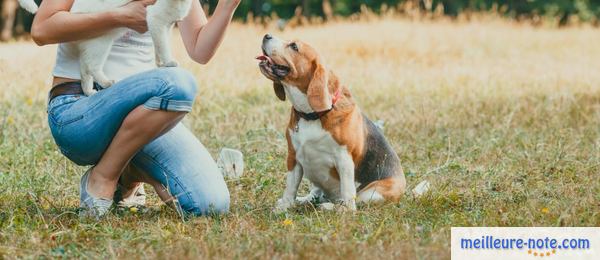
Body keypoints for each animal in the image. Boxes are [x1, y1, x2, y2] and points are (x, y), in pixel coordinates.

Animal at [18, 0, 192, 95]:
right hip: (102, 44)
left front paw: (161, 63)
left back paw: (89, 92)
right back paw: (107, 83)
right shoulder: (156, 21)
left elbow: (161, 45)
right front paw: (168, 63)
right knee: (92, 67)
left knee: (84, 70)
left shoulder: (166, 26)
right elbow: (163, 47)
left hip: (93, 47)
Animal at [258, 34, 408, 211]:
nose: (266, 35)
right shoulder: (293, 157)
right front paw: (284, 207)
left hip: (372, 193)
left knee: (352, 201)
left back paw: (330, 207)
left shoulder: (344, 159)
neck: (312, 115)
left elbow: (348, 194)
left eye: (294, 46)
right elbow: (290, 187)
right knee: (315, 194)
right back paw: (304, 200)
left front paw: (344, 211)